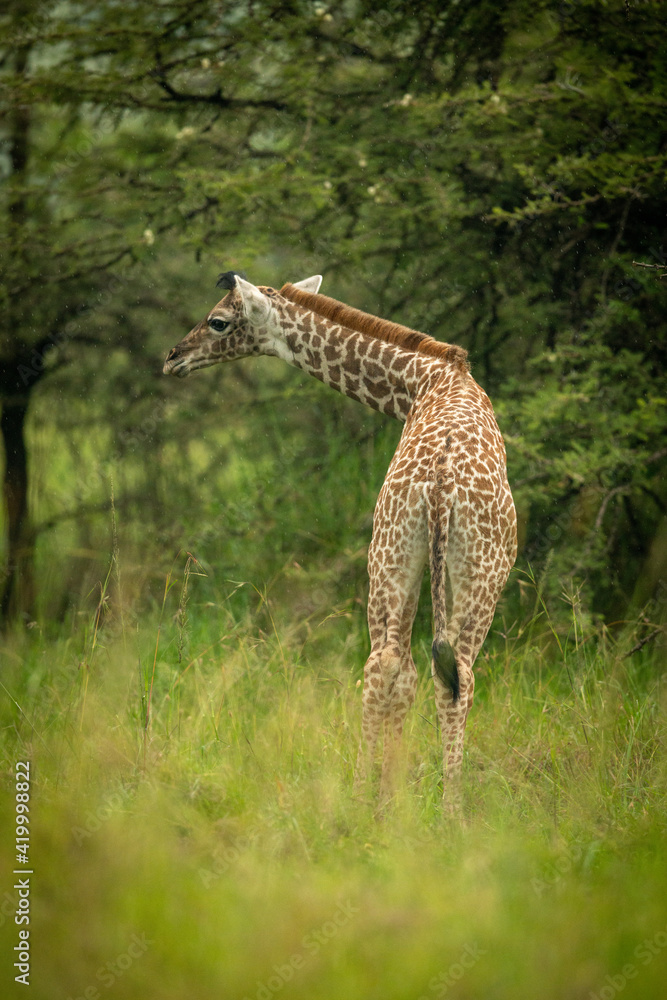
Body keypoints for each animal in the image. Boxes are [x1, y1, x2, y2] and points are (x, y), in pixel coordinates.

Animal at [163, 272, 517, 803]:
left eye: (218, 321)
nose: (173, 357)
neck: (424, 380)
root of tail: (440, 485)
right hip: (465, 568)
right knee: (445, 672)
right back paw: (431, 804)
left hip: (402, 555)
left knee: (395, 665)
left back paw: (379, 799)